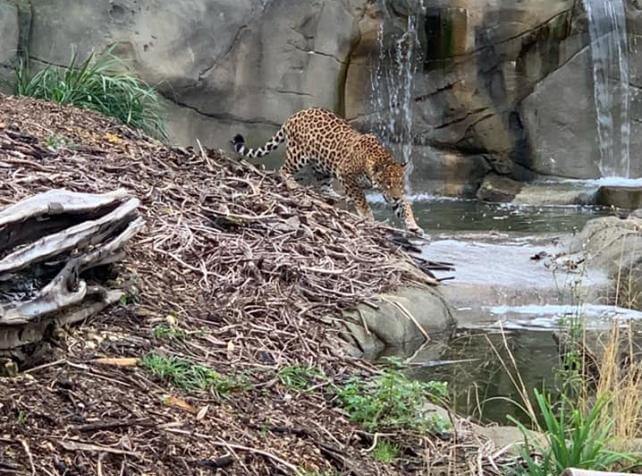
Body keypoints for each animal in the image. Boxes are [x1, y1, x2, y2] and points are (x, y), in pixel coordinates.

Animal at [231, 107, 423, 235]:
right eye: (387, 184)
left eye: (400, 183)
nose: (395, 196)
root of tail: (294, 115)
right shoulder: (346, 175)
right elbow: (361, 200)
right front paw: (368, 217)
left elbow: (405, 205)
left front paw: (413, 225)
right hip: (298, 155)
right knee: (283, 170)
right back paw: (293, 184)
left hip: (322, 166)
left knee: (323, 186)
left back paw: (336, 196)